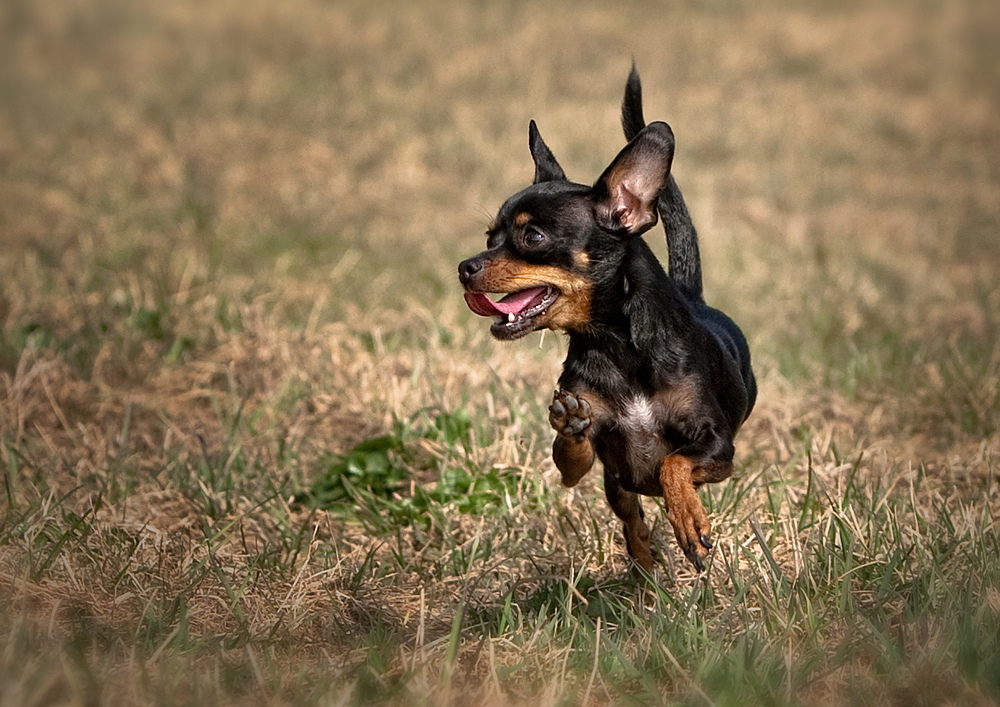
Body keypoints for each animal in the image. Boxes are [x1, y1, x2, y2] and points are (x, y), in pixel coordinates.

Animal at [458, 69, 752, 572]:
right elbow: (572, 452)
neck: (618, 343)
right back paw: (643, 561)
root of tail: (694, 297)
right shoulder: (581, 462)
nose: (464, 267)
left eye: (532, 237)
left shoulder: (717, 447)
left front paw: (688, 518)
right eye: (489, 236)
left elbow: (674, 464)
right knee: (630, 513)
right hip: (616, 484)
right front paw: (571, 422)